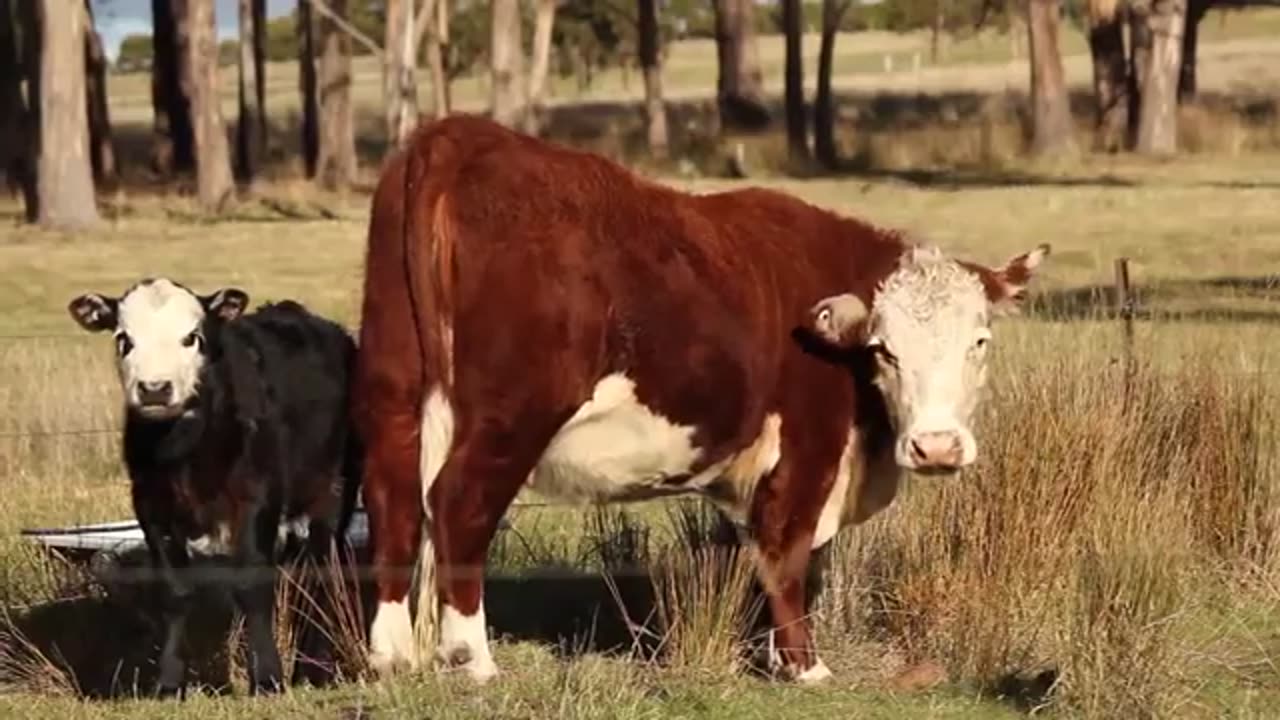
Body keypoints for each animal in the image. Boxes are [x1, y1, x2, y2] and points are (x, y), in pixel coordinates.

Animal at [353, 114, 1049, 681]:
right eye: (884, 349)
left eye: (979, 341)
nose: (936, 448)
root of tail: (458, 137)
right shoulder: (810, 446)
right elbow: (789, 553)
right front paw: (805, 666)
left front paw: (774, 656)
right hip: (512, 414)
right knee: (458, 503)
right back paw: (470, 657)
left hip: (395, 386)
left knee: (393, 499)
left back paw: (391, 654)